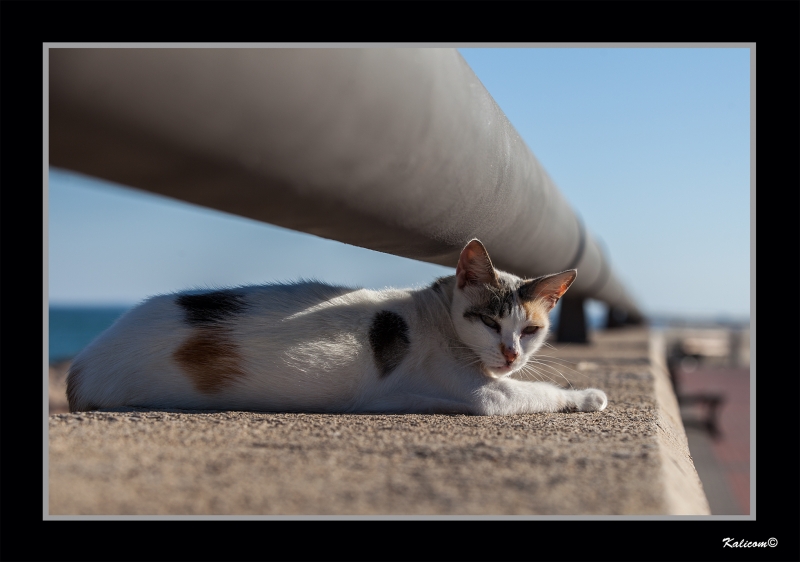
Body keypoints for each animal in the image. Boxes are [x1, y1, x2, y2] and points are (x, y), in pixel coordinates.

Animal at [67, 238, 608, 414]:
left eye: (530, 330)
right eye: (491, 320)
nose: (512, 354)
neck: (435, 313)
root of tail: (81, 363)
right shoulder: (485, 396)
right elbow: (538, 392)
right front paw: (588, 395)